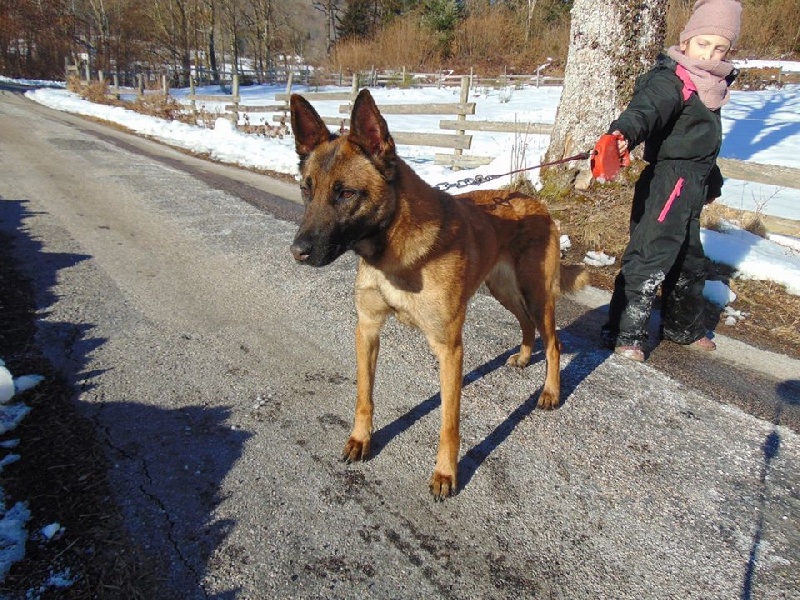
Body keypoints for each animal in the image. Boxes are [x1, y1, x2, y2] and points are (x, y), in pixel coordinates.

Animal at [288, 89, 588, 500]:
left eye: (346, 193)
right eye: (307, 188)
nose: (297, 252)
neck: (394, 250)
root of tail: (535, 202)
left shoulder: (449, 348)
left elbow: (449, 421)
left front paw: (446, 473)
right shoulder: (367, 330)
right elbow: (364, 396)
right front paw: (360, 439)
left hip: (536, 294)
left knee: (554, 342)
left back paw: (550, 392)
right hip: (503, 290)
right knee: (526, 325)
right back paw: (526, 357)